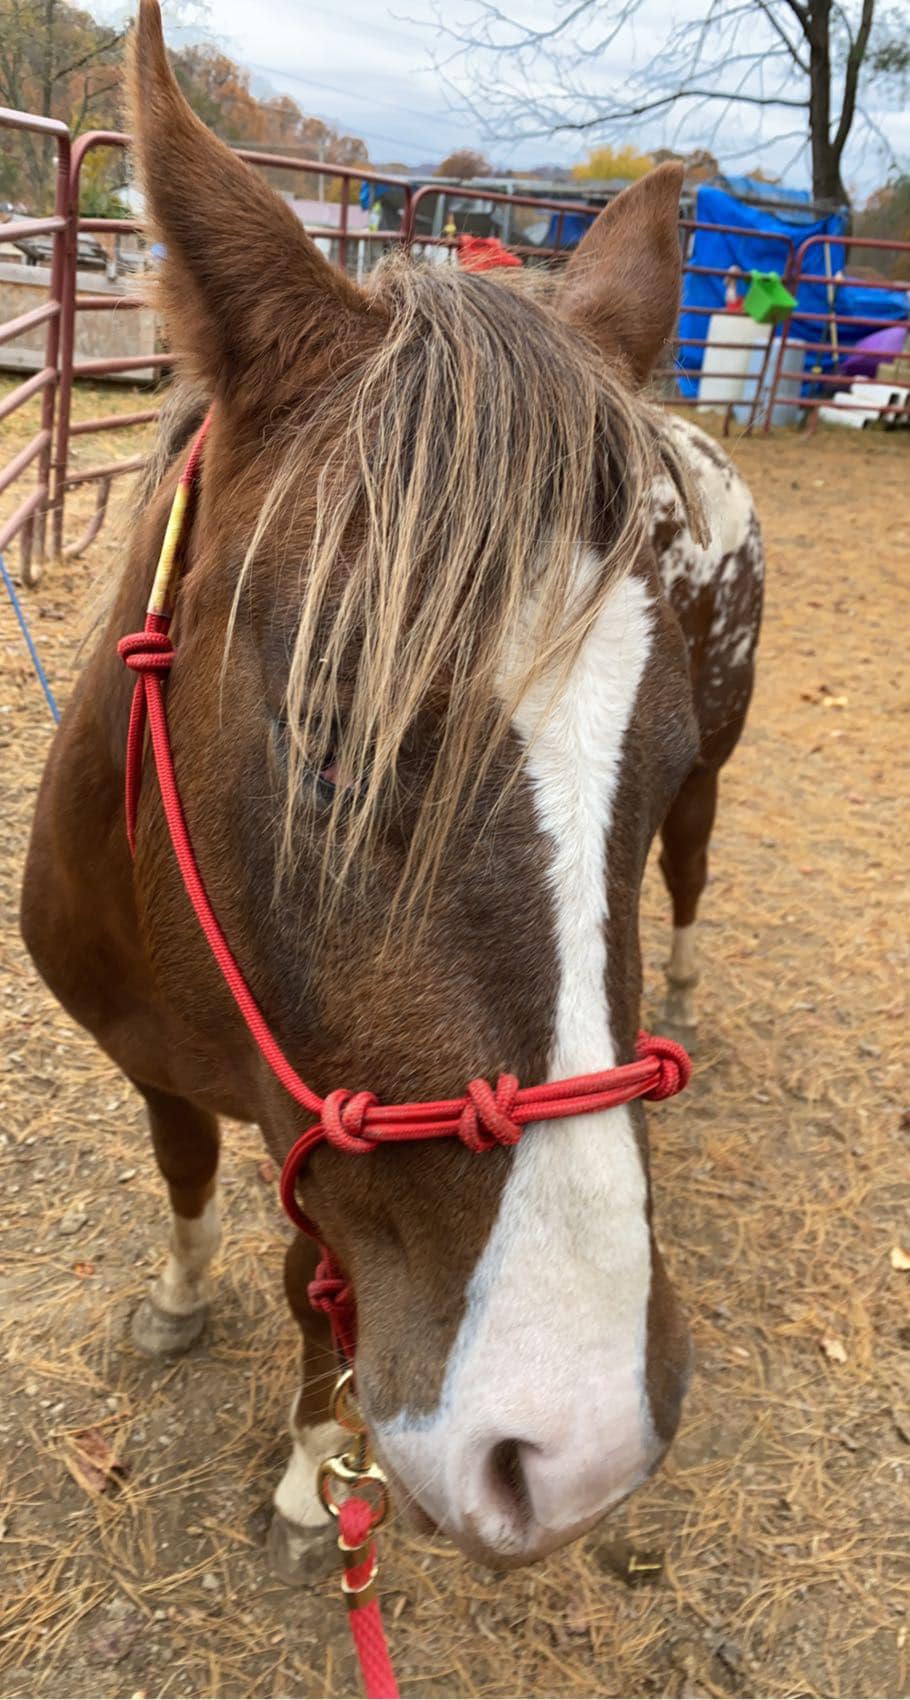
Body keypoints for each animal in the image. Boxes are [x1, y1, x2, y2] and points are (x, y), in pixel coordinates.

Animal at [22, 0, 762, 1578]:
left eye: (653, 750)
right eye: (327, 746)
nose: (574, 1443)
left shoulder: (326, 1146)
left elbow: (318, 1287)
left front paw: (316, 1470)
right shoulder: (155, 1064)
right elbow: (180, 1168)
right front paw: (179, 1296)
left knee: (688, 883)